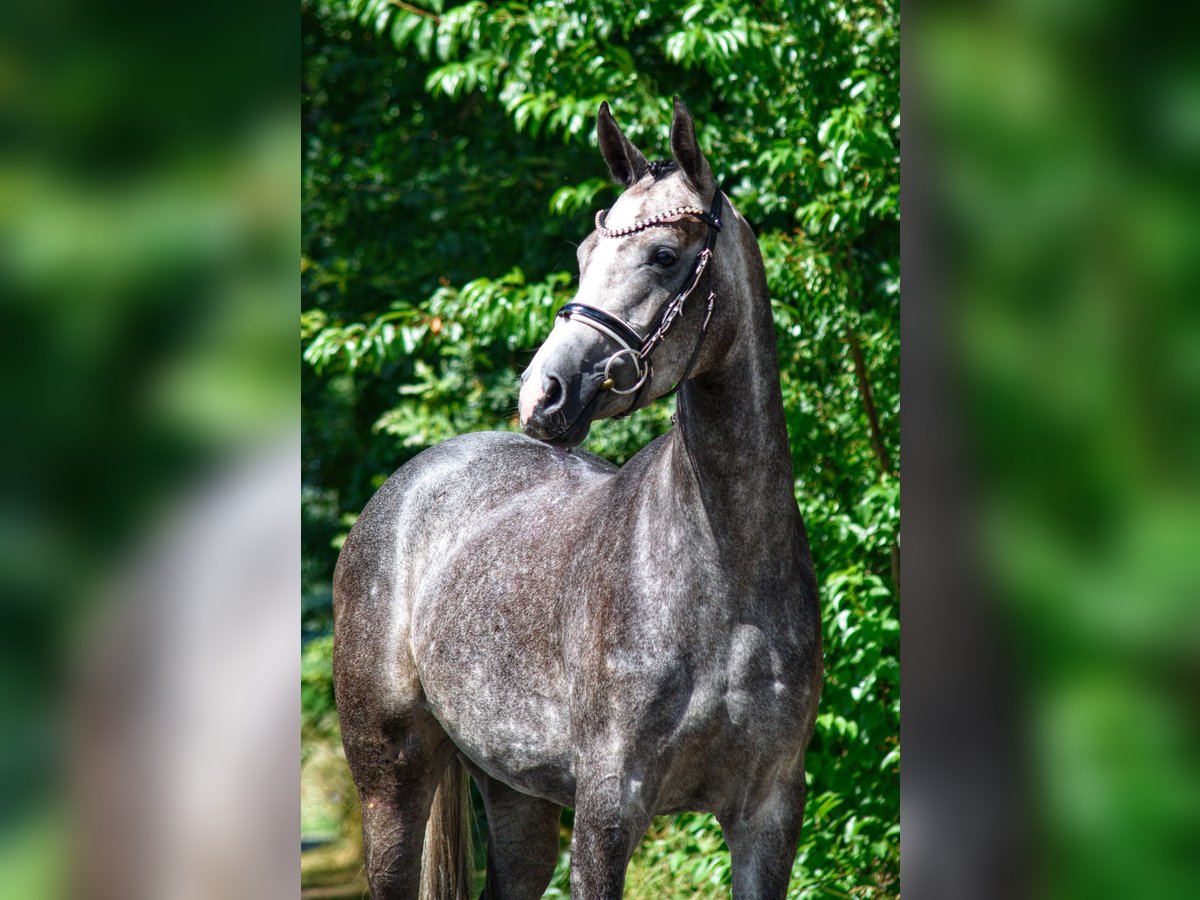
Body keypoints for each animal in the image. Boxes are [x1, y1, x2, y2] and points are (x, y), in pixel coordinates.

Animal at [338, 100, 825, 900]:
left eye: (663, 255)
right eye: (583, 250)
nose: (543, 394)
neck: (725, 568)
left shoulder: (770, 816)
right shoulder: (607, 809)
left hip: (514, 792)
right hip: (391, 782)